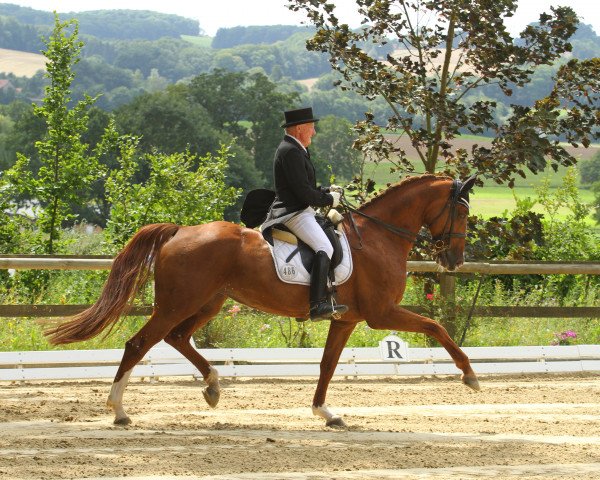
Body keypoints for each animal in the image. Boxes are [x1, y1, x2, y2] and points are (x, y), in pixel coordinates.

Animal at [45, 174, 478, 426]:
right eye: (460, 213)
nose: (454, 260)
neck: (377, 237)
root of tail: (179, 230)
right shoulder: (380, 313)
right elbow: (436, 327)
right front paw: (469, 376)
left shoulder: (346, 319)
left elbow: (327, 365)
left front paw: (325, 412)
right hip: (178, 303)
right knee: (139, 344)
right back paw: (119, 410)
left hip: (208, 302)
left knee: (177, 338)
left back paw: (213, 387)